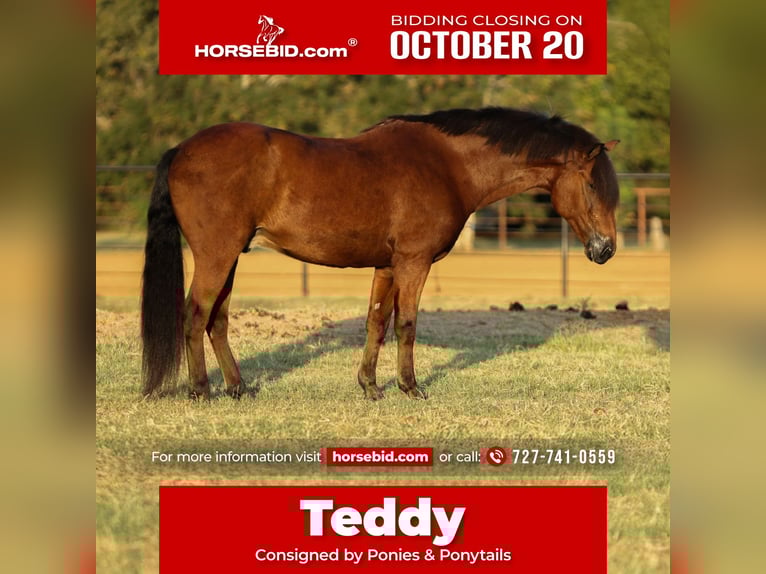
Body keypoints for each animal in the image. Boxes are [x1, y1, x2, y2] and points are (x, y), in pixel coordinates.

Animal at [141, 107, 619, 401]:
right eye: (592, 184)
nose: (607, 248)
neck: (448, 165)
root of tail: (181, 150)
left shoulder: (387, 266)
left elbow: (377, 322)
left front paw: (370, 387)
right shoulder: (413, 262)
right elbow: (407, 323)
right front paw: (410, 387)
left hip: (232, 256)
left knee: (217, 320)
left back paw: (238, 388)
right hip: (216, 255)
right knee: (195, 314)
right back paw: (201, 390)